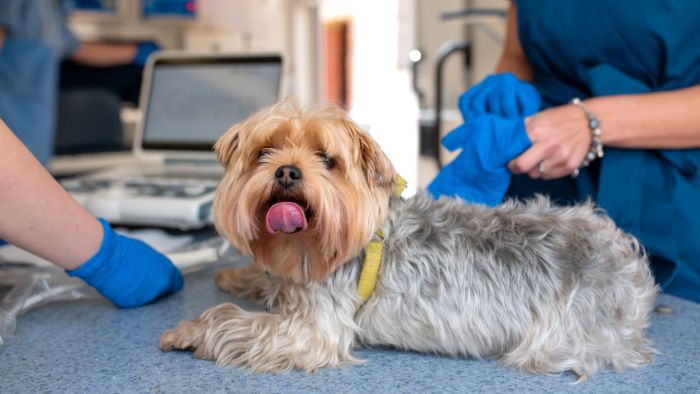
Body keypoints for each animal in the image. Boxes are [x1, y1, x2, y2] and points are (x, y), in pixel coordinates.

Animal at [159, 97, 656, 378]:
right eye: (265, 152)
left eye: (327, 159)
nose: (285, 171)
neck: (310, 247)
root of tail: (627, 261)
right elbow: (267, 282)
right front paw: (240, 278)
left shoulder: (313, 329)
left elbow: (236, 322)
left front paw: (189, 329)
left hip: (559, 339)